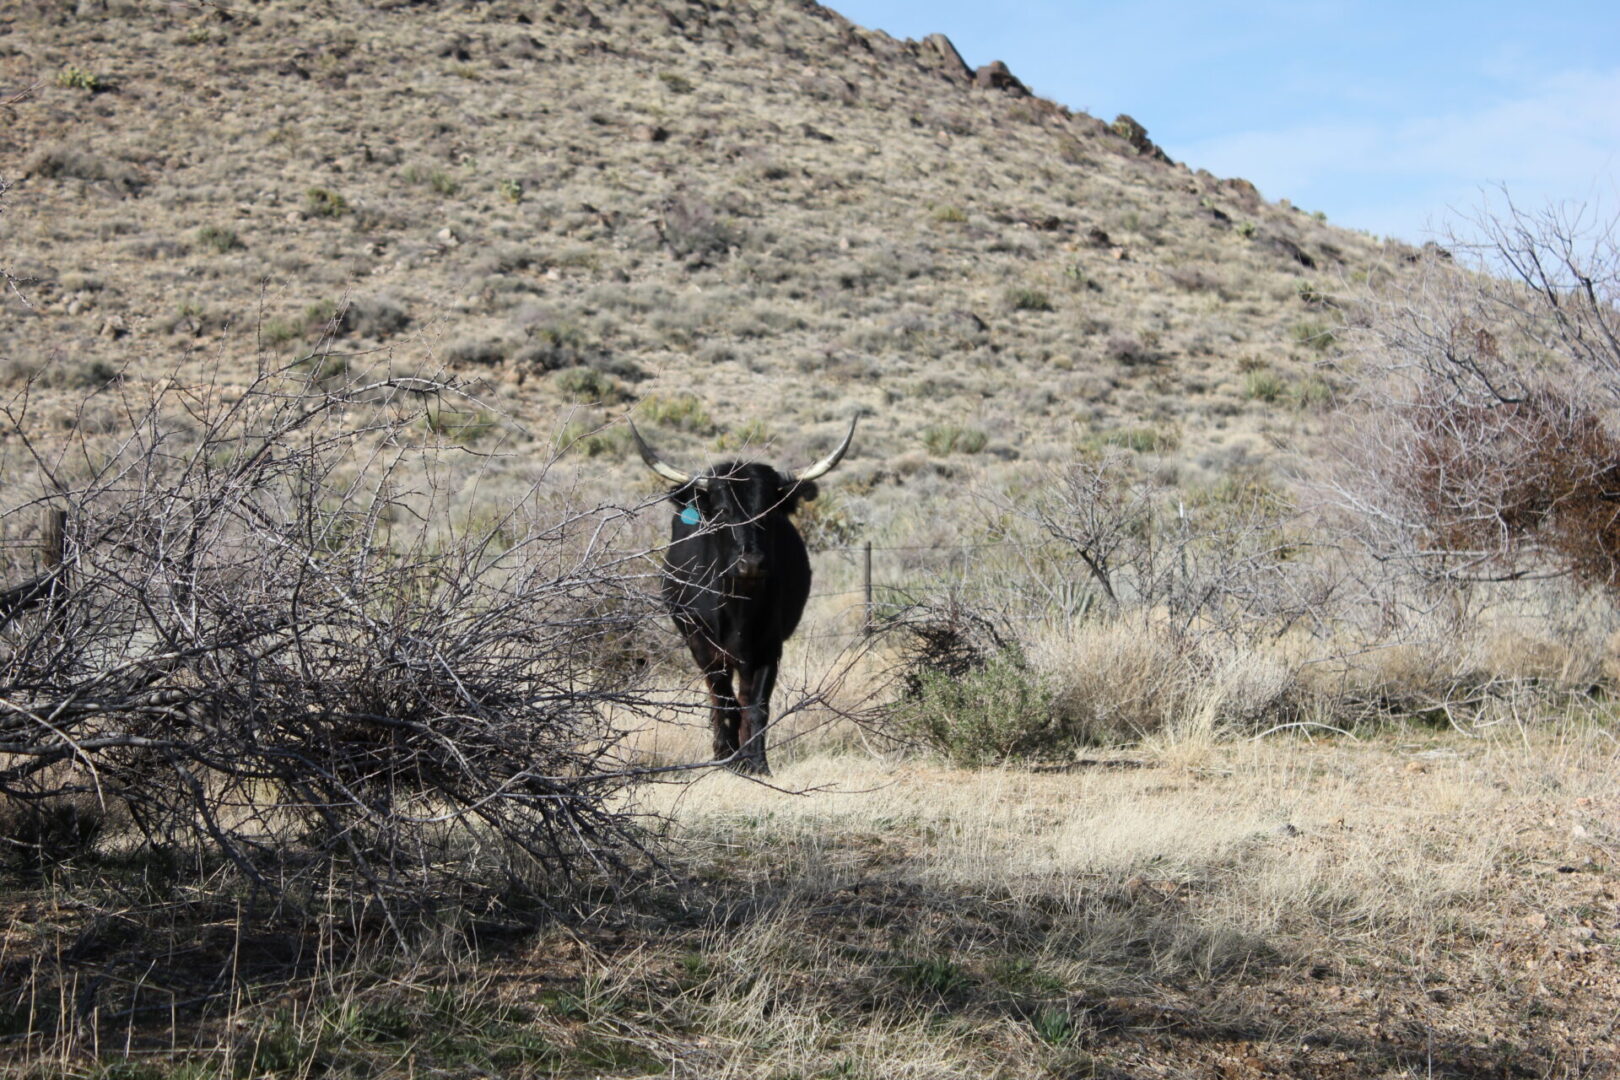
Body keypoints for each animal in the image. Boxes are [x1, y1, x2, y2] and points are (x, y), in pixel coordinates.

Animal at [631, 417, 861, 773]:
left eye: (770, 510)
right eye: (722, 511)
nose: (751, 562)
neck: (737, 604)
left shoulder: (769, 646)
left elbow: (756, 705)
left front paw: (756, 763)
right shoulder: (703, 645)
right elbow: (724, 702)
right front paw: (727, 759)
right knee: (720, 698)